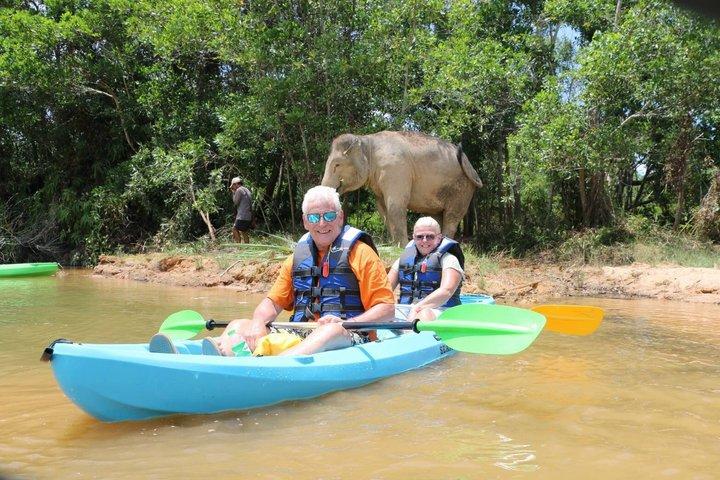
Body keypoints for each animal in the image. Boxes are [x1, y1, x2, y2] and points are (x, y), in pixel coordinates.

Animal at [320, 130, 483, 245]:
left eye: (337, 164)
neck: (366, 141)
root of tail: (469, 164)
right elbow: (382, 208)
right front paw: (394, 244)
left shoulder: (395, 169)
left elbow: (395, 205)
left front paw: (403, 246)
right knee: (436, 217)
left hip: (462, 188)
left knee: (452, 216)